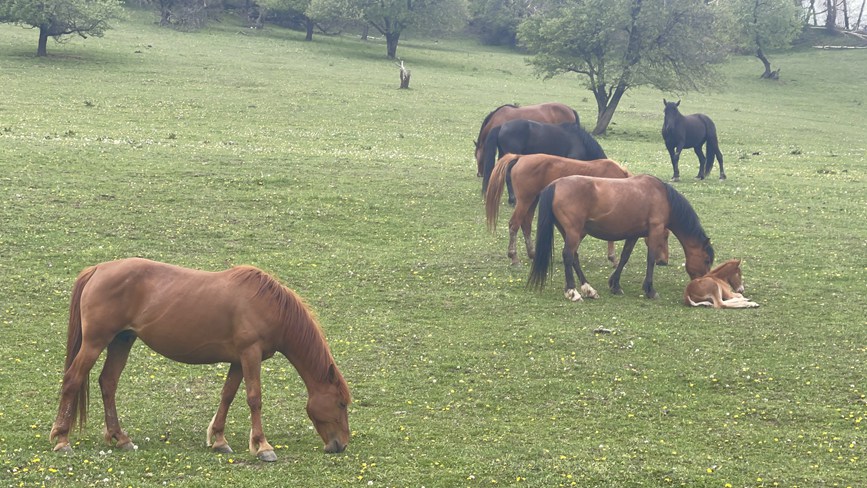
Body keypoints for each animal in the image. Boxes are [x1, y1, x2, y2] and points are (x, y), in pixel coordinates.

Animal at [49, 260, 350, 462]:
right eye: (341, 403)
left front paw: (219, 439)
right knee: (73, 380)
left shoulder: (239, 360)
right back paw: (62, 439)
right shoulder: (250, 355)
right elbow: (254, 398)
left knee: (108, 383)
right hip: (95, 342)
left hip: (122, 341)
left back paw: (121, 438)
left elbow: (227, 395)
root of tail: (98, 269)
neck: (268, 305)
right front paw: (262, 446)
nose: (341, 444)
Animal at [524, 175, 716, 302]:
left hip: (572, 233)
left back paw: (588, 289)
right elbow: (650, 259)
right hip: (573, 232)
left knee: (574, 257)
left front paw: (615, 285)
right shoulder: (655, 230)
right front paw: (650, 289)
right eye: (706, 260)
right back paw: (573, 291)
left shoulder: (633, 235)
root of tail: (555, 184)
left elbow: (624, 257)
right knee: (568, 256)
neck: (662, 195)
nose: (703, 284)